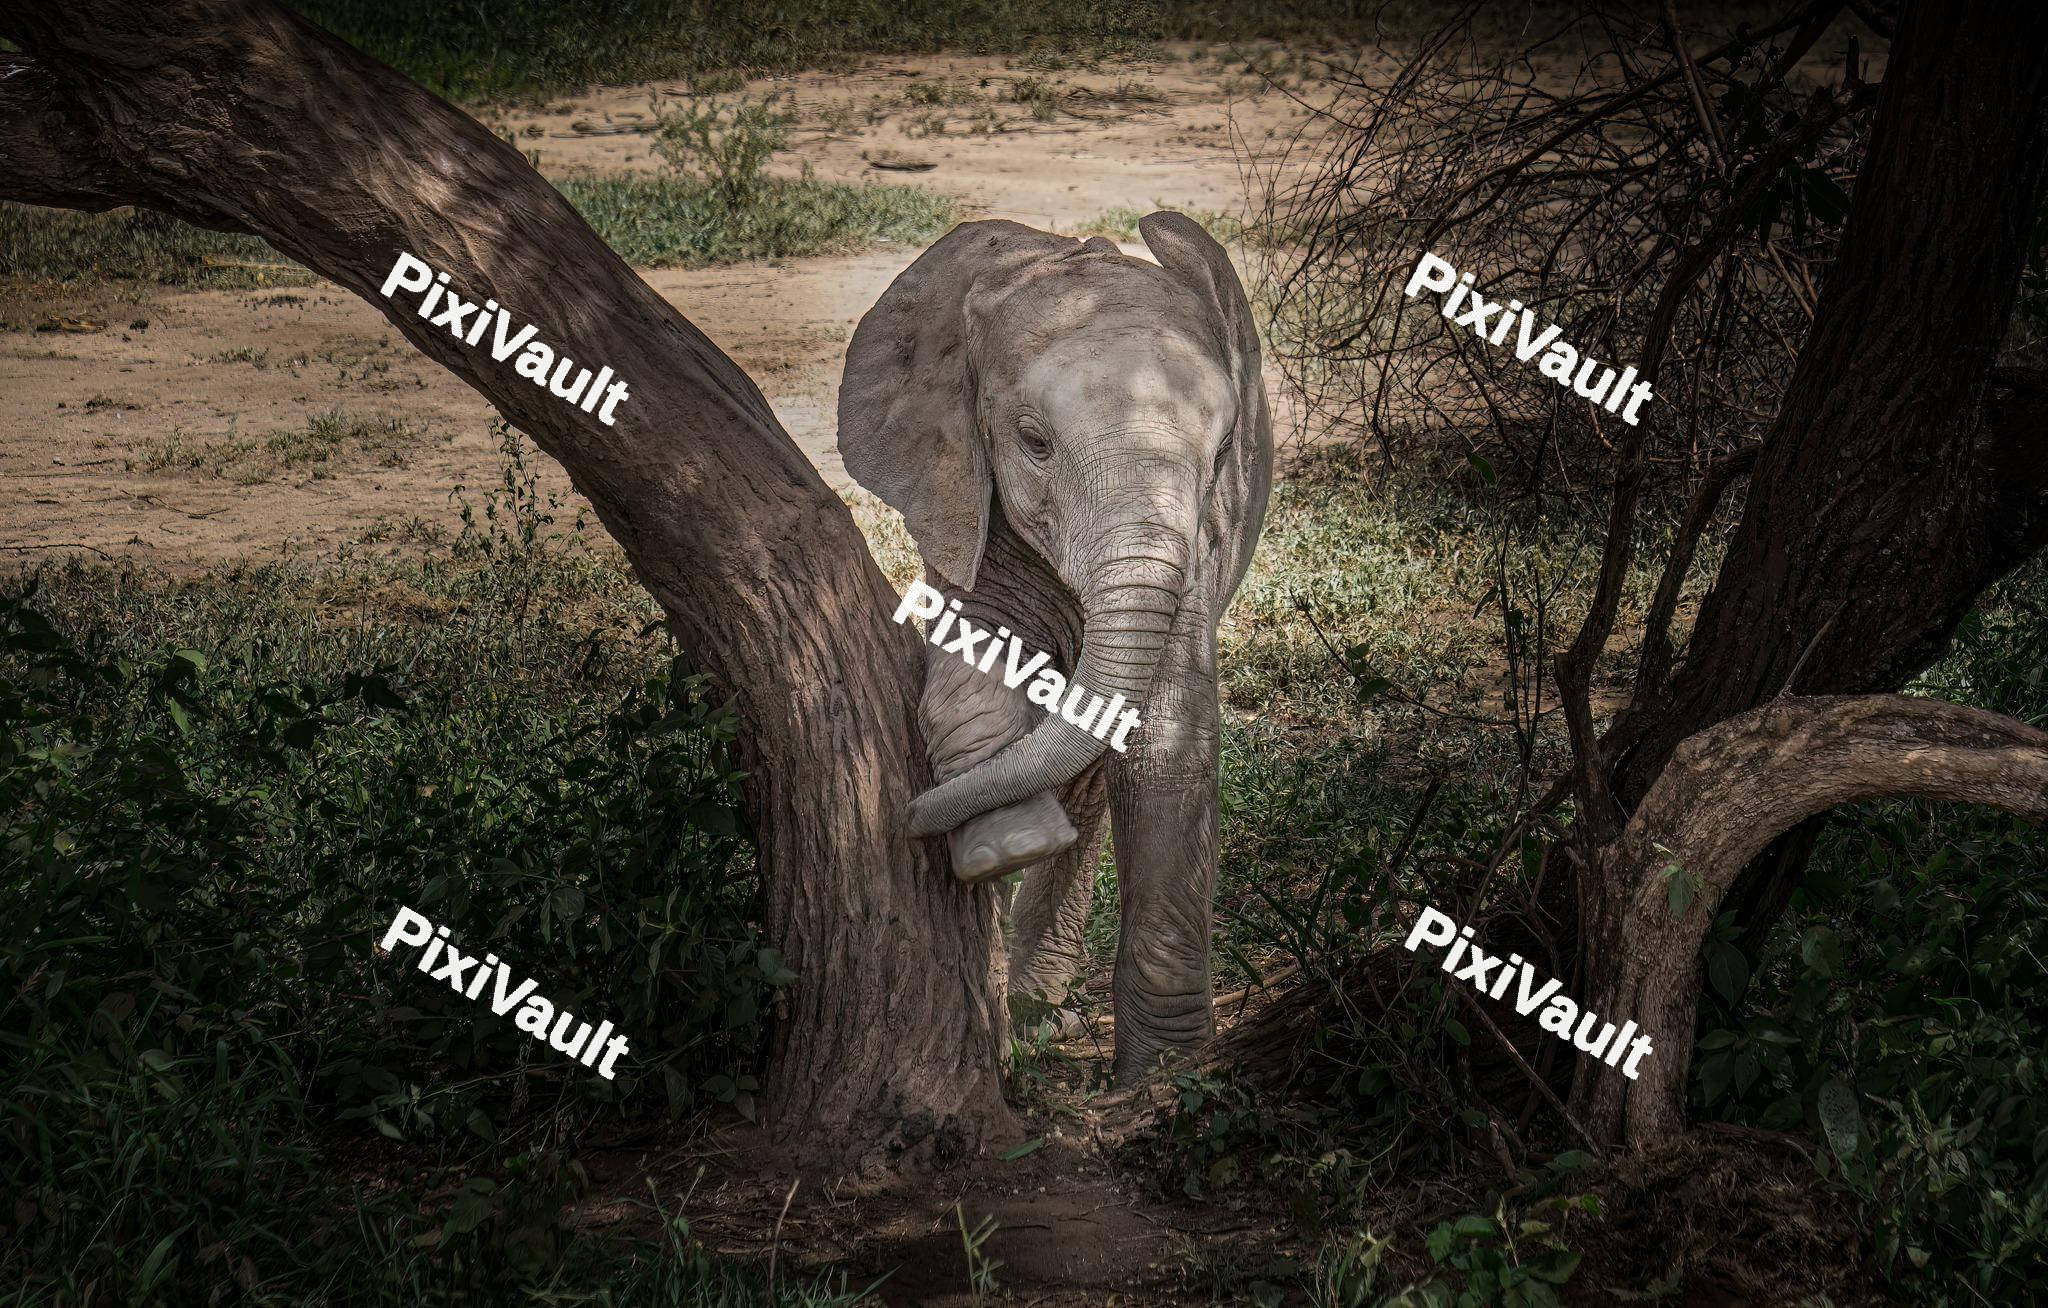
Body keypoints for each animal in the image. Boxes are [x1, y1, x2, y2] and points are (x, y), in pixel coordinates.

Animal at [837, 211, 1273, 1085]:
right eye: (1033, 443)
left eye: (1220, 458)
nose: (901, 817)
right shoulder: (963, 494)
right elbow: (971, 658)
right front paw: (1008, 845)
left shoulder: (1202, 544)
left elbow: (1162, 739)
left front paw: (1164, 1077)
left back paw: (1037, 1009)